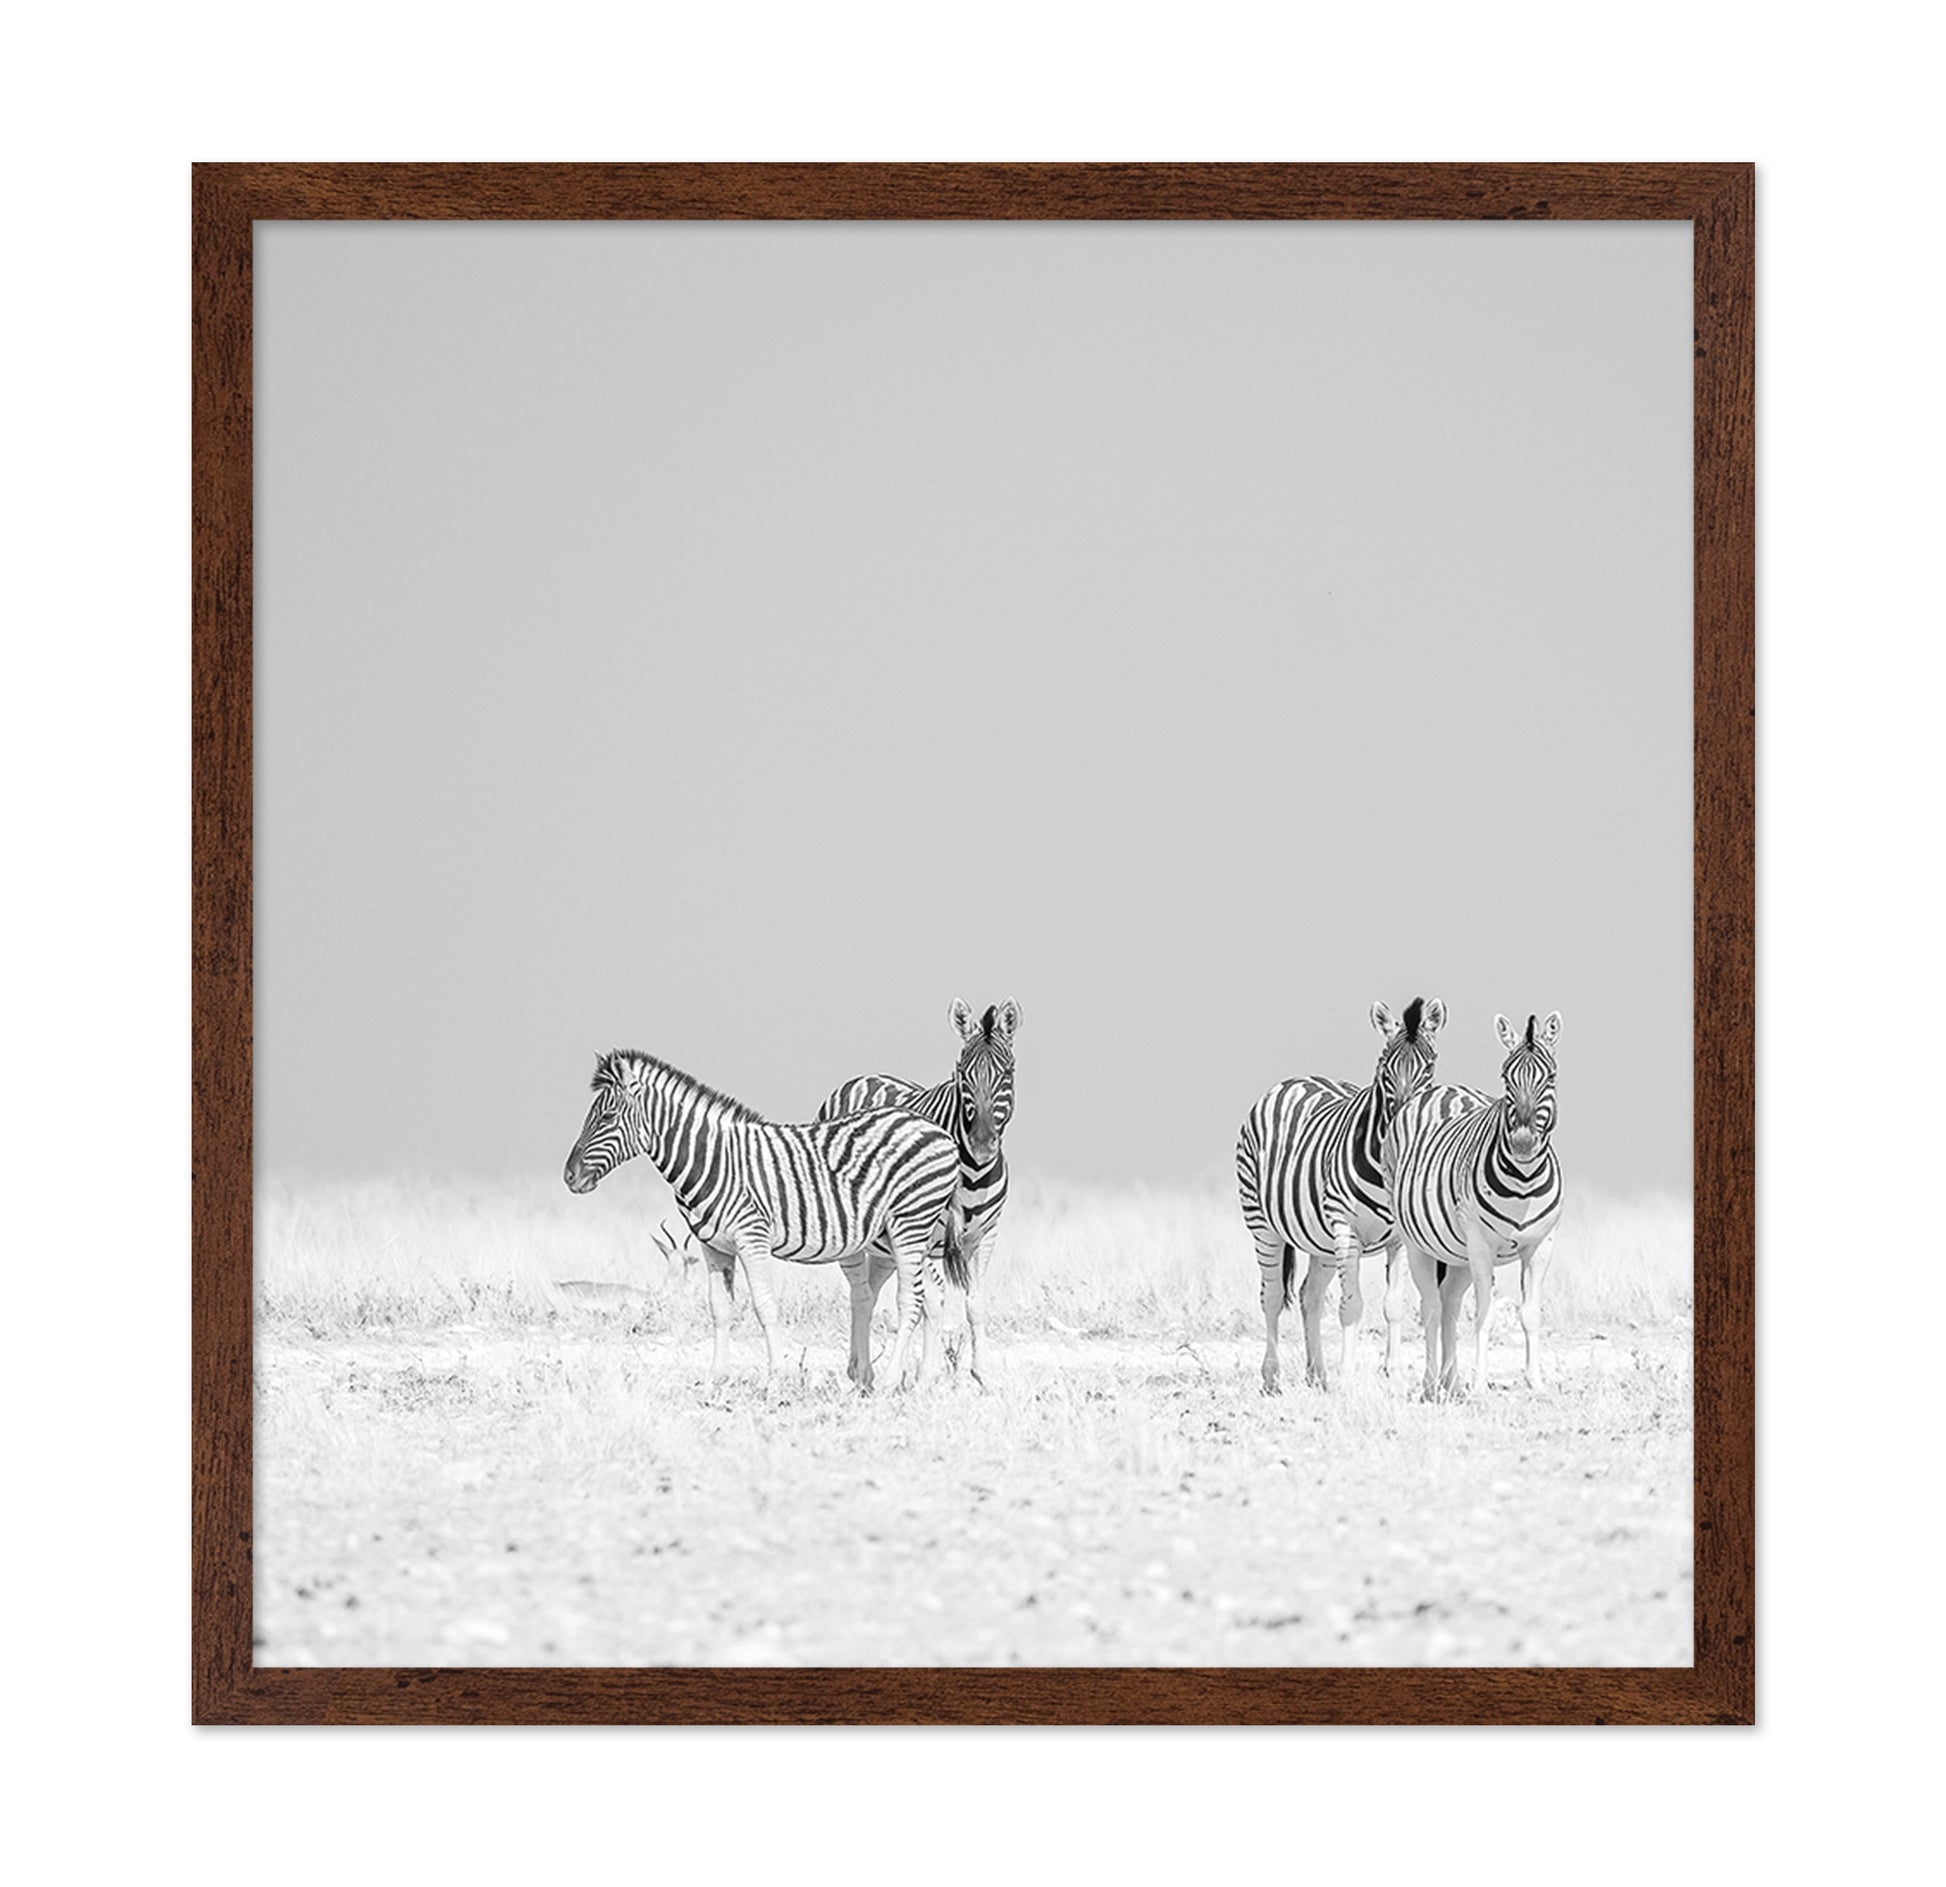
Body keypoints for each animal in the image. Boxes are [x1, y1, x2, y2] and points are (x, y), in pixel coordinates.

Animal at [562, 1049, 962, 1390]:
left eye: (607, 1117)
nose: (569, 1176)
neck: (714, 1160)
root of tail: (939, 1131)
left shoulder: (752, 1238)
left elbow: (764, 1307)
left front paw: (775, 1380)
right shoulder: (713, 1247)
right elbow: (720, 1310)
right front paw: (715, 1378)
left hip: (909, 1223)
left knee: (911, 1299)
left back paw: (891, 1382)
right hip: (911, 1235)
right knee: (932, 1297)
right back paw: (923, 1382)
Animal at [817, 998, 1019, 1387]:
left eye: (1008, 1073)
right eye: (962, 1074)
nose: (982, 1145)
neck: (972, 1173)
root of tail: (865, 1077)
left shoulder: (986, 1235)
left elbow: (975, 1302)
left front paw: (983, 1374)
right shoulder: (925, 1235)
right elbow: (932, 1303)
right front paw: (927, 1376)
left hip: (885, 1244)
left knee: (872, 1288)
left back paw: (861, 1369)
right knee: (861, 1291)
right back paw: (862, 1372)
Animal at [1236, 997, 1447, 1393]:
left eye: (1430, 1065)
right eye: (1385, 1066)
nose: (1402, 1122)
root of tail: (1295, 1080)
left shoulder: (1400, 1238)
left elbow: (1394, 1306)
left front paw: (1393, 1372)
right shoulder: (1345, 1228)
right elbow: (1351, 1306)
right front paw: (1348, 1378)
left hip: (1320, 1239)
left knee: (1309, 1296)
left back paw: (1317, 1374)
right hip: (1263, 1223)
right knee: (1272, 1297)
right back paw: (1272, 1378)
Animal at [1388, 1012, 1565, 1398]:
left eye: (1551, 1076)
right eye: (1505, 1077)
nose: (1523, 1143)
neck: (1524, 1180)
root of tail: (1441, 1089)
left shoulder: (1541, 1245)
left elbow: (1530, 1314)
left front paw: (1536, 1382)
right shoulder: (1482, 1246)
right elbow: (1485, 1314)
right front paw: (1481, 1384)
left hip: (1458, 1254)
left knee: (1450, 1303)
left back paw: (1451, 1381)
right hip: (1418, 1243)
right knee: (1432, 1306)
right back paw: (1431, 1383)